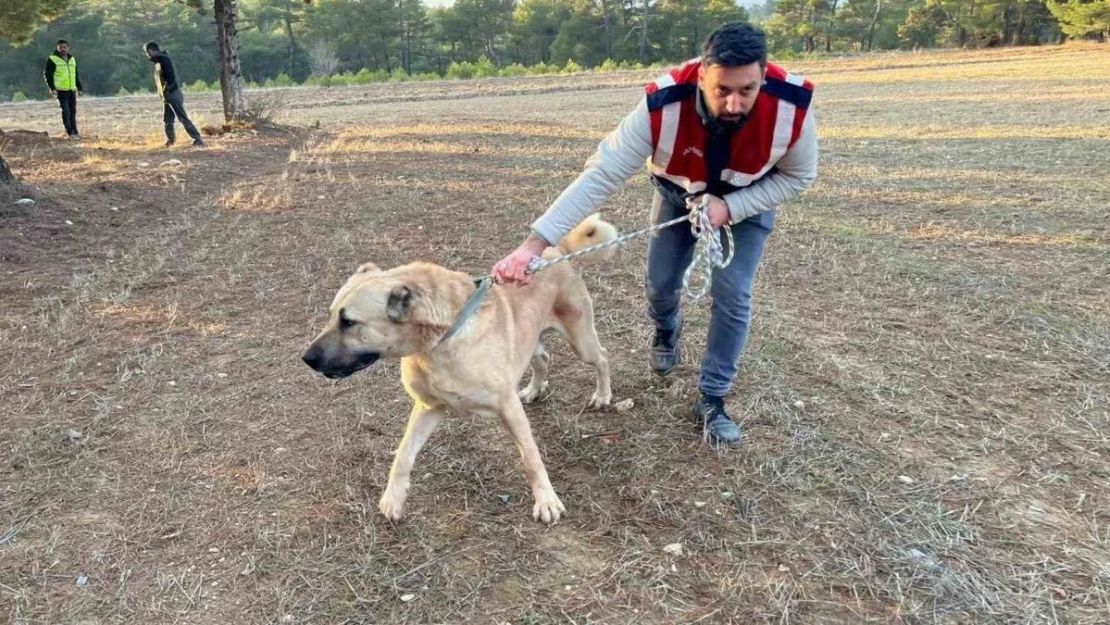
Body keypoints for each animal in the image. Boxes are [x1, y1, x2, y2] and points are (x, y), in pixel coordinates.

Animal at [299, 217, 621, 526]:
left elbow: (531, 457)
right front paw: (394, 497)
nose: (306, 358)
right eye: (330, 315)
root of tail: (556, 252)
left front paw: (547, 501)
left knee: (603, 358)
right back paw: (533, 389)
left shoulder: (508, 408)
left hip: (581, 341)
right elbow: (404, 453)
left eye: (349, 322)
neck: (441, 341)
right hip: (530, 342)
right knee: (543, 357)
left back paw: (603, 396)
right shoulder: (429, 407)